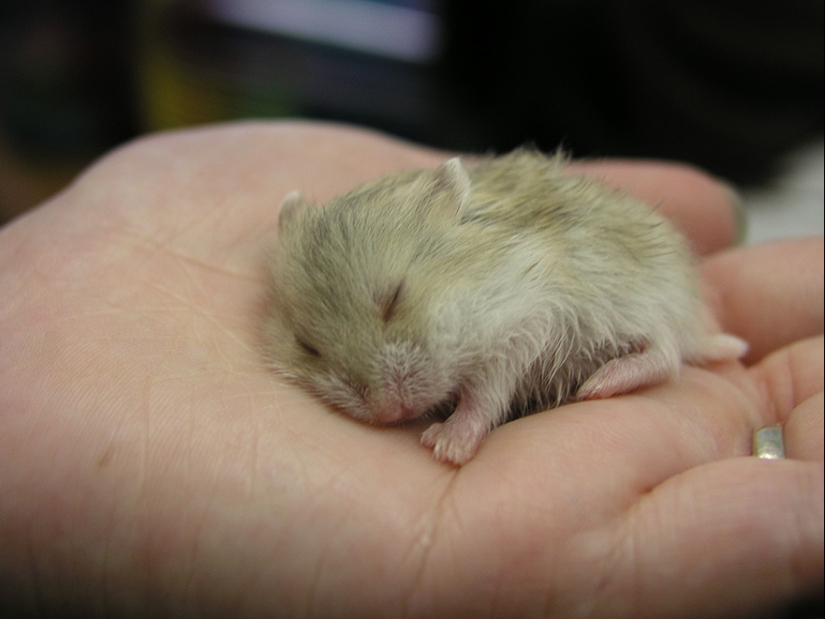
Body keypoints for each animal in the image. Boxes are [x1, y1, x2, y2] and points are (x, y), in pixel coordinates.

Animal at [266, 150, 748, 464]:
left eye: (394, 297)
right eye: (308, 346)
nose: (389, 414)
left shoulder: (526, 320)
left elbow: (484, 393)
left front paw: (446, 447)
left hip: (644, 299)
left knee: (667, 352)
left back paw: (599, 384)